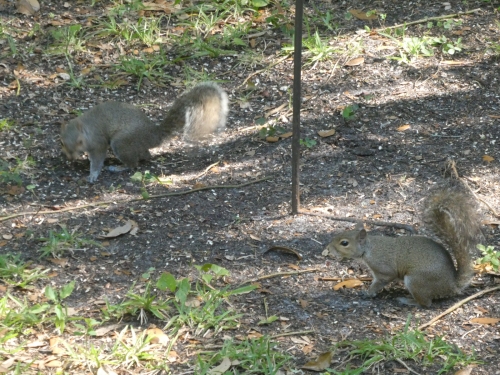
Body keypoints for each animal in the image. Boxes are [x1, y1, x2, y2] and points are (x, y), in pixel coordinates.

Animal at [60, 82, 229, 184]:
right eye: (61, 142)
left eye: (79, 142)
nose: (70, 157)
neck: (85, 128)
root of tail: (153, 135)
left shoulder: (98, 143)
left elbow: (97, 160)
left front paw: (92, 175)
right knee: (146, 155)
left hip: (122, 143)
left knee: (134, 163)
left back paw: (119, 168)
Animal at [326, 186, 482, 308]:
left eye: (344, 243)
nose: (329, 248)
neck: (369, 248)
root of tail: (451, 286)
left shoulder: (383, 269)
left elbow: (382, 280)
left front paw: (368, 293)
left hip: (416, 280)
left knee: (426, 303)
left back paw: (408, 301)